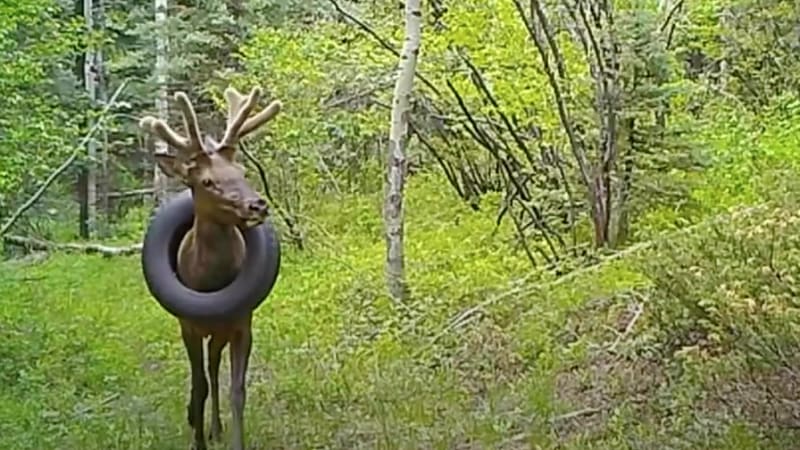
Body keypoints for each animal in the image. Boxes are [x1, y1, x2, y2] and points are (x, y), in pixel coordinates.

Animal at [138, 85, 281, 450]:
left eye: (243, 172)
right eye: (205, 181)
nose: (257, 205)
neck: (211, 281)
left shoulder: (243, 323)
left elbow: (237, 390)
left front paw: (233, 440)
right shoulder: (187, 325)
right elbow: (198, 384)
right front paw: (197, 440)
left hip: (221, 331)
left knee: (215, 367)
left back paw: (215, 426)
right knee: (204, 375)